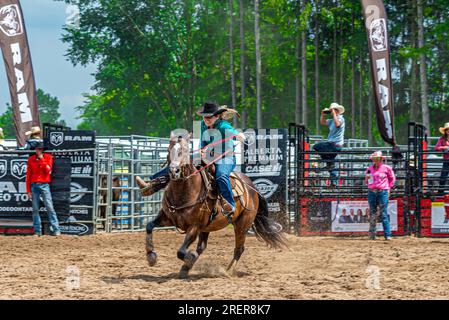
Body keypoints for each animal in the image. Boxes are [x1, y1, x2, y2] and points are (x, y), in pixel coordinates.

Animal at [144, 132, 286, 278]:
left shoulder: (194, 226)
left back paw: (227, 271)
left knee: (239, 249)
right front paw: (151, 256)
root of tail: (252, 187)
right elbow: (149, 226)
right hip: (208, 227)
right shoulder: (168, 218)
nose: (174, 171)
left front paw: (190, 257)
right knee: (202, 247)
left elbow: (181, 251)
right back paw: (186, 268)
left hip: (242, 225)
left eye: (184, 151)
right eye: (168, 151)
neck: (184, 193)